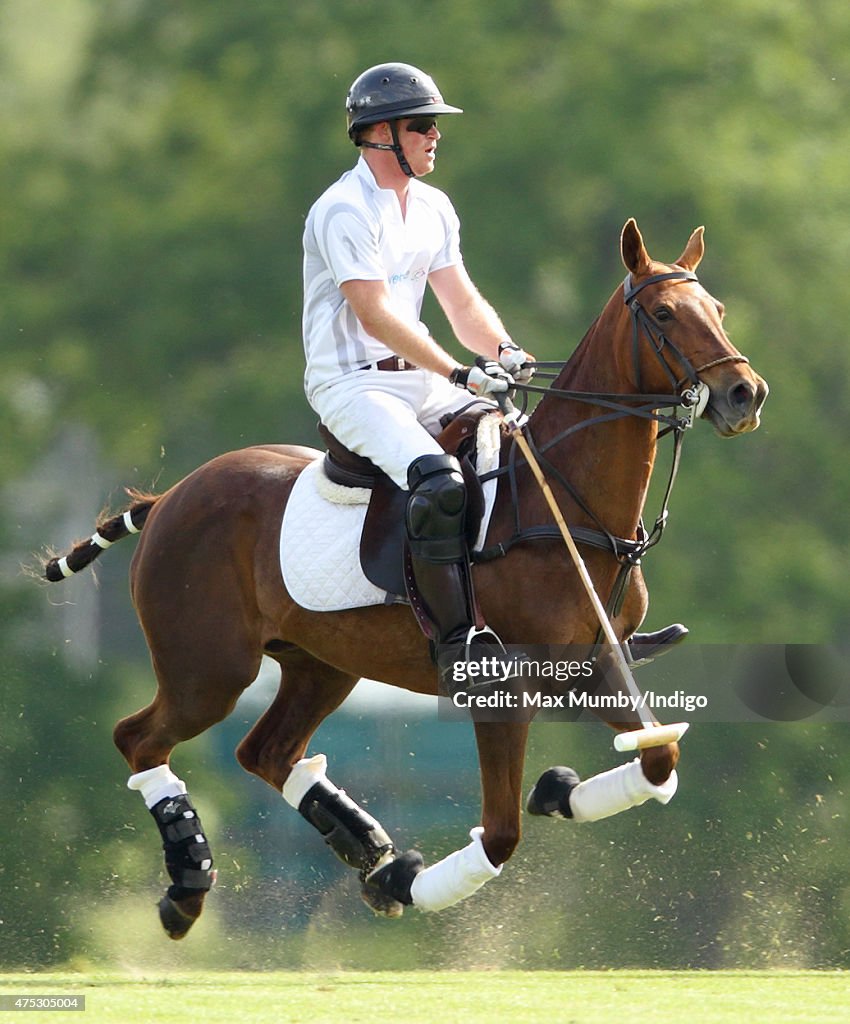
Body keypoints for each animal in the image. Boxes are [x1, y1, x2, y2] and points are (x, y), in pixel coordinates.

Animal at [43, 222, 770, 937]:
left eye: (718, 309)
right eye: (664, 313)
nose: (746, 394)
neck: (562, 503)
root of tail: (170, 499)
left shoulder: (595, 664)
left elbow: (658, 763)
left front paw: (553, 791)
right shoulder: (500, 687)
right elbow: (501, 834)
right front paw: (410, 878)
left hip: (320, 662)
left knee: (264, 750)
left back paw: (365, 843)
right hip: (208, 668)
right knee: (140, 738)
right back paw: (191, 886)